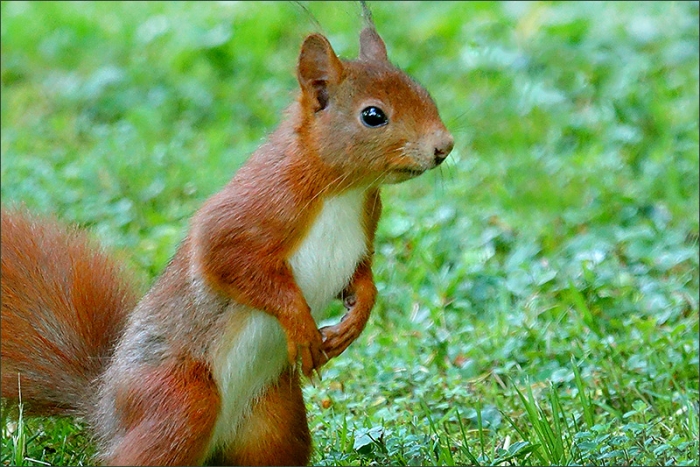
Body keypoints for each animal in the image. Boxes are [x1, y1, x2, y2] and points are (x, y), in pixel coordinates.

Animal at [1, 21, 453, 466]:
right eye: (373, 115)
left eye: (425, 92)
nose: (444, 147)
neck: (345, 190)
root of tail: (105, 409)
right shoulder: (250, 212)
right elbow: (230, 263)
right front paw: (301, 324)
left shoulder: (363, 230)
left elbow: (361, 277)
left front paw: (355, 320)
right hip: (180, 401)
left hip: (275, 419)